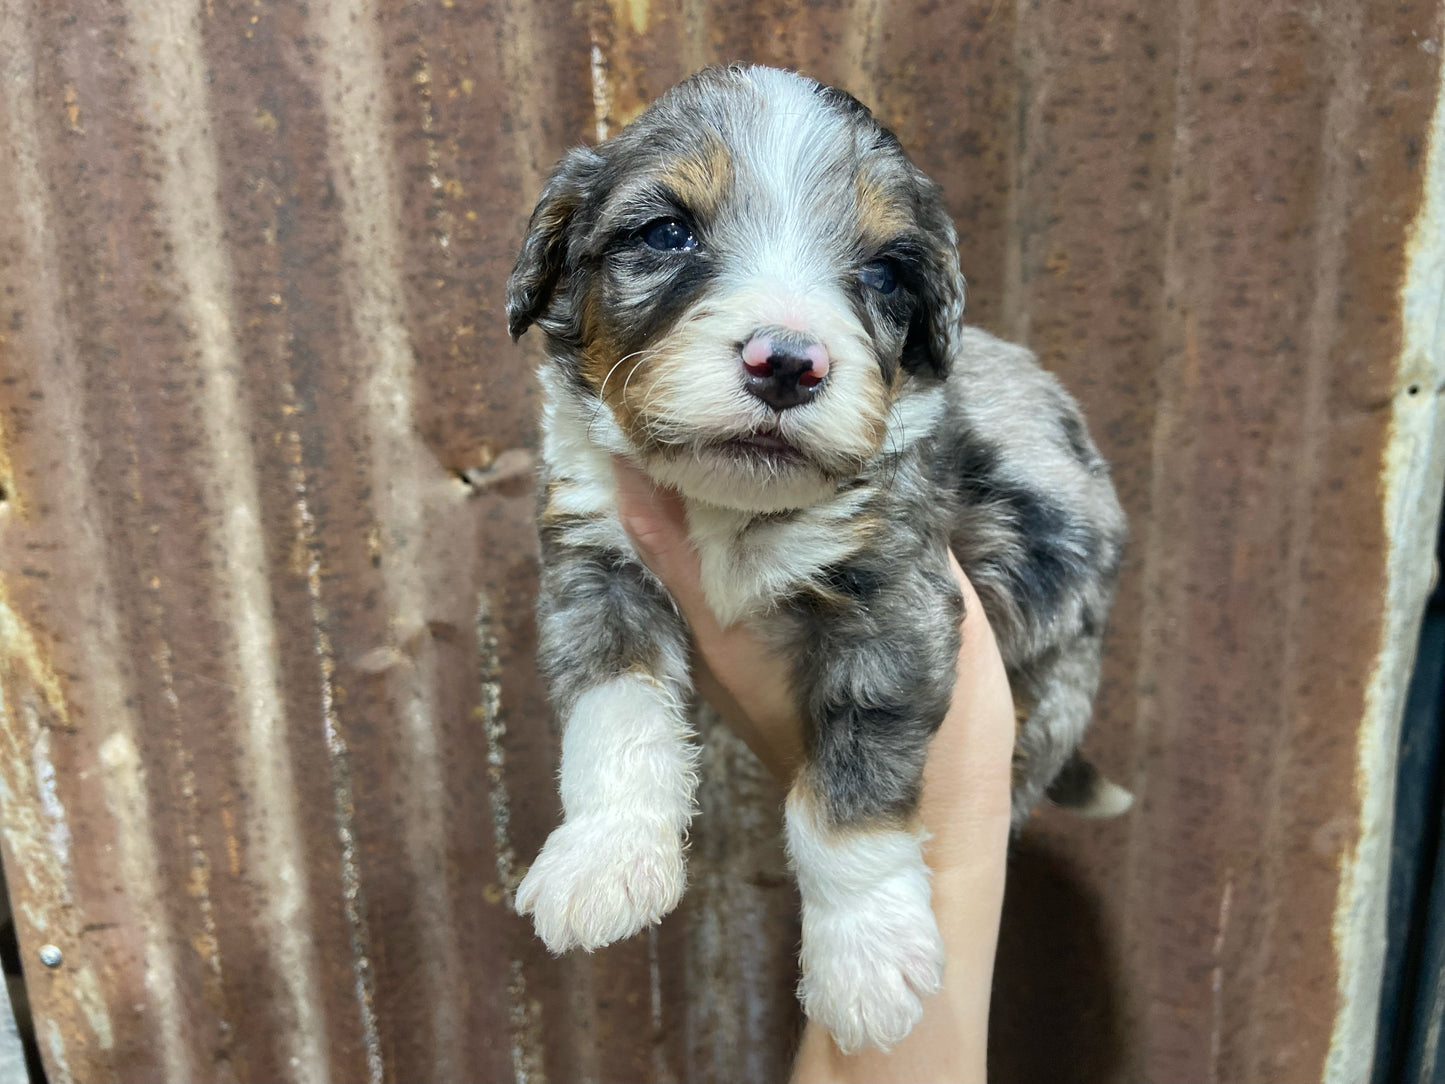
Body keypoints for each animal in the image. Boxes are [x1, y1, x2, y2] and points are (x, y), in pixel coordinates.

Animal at [508, 65, 1127, 1052]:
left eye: (882, 272)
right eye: (666, 232)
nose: (787, 363)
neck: (730, 508)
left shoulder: (892, 604)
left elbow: (852, 788)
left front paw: (864, 960)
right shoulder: (591, 565)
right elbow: (615, 716)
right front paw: (605, 858)